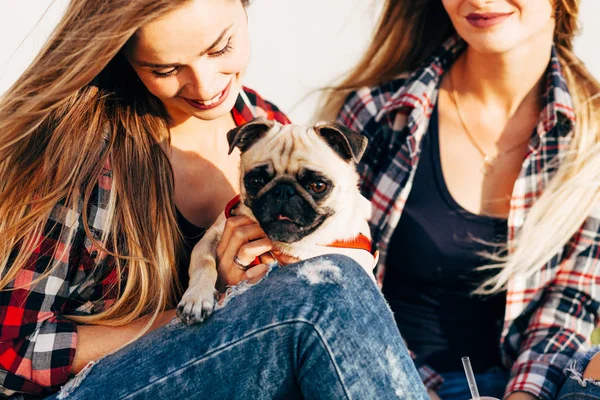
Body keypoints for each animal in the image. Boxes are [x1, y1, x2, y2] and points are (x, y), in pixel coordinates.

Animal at [176, 117, 378, 324]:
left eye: (318, 186)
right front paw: (198, 297)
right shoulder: (213, 235)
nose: (284, 191)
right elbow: (204, 263)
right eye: (255, 181)